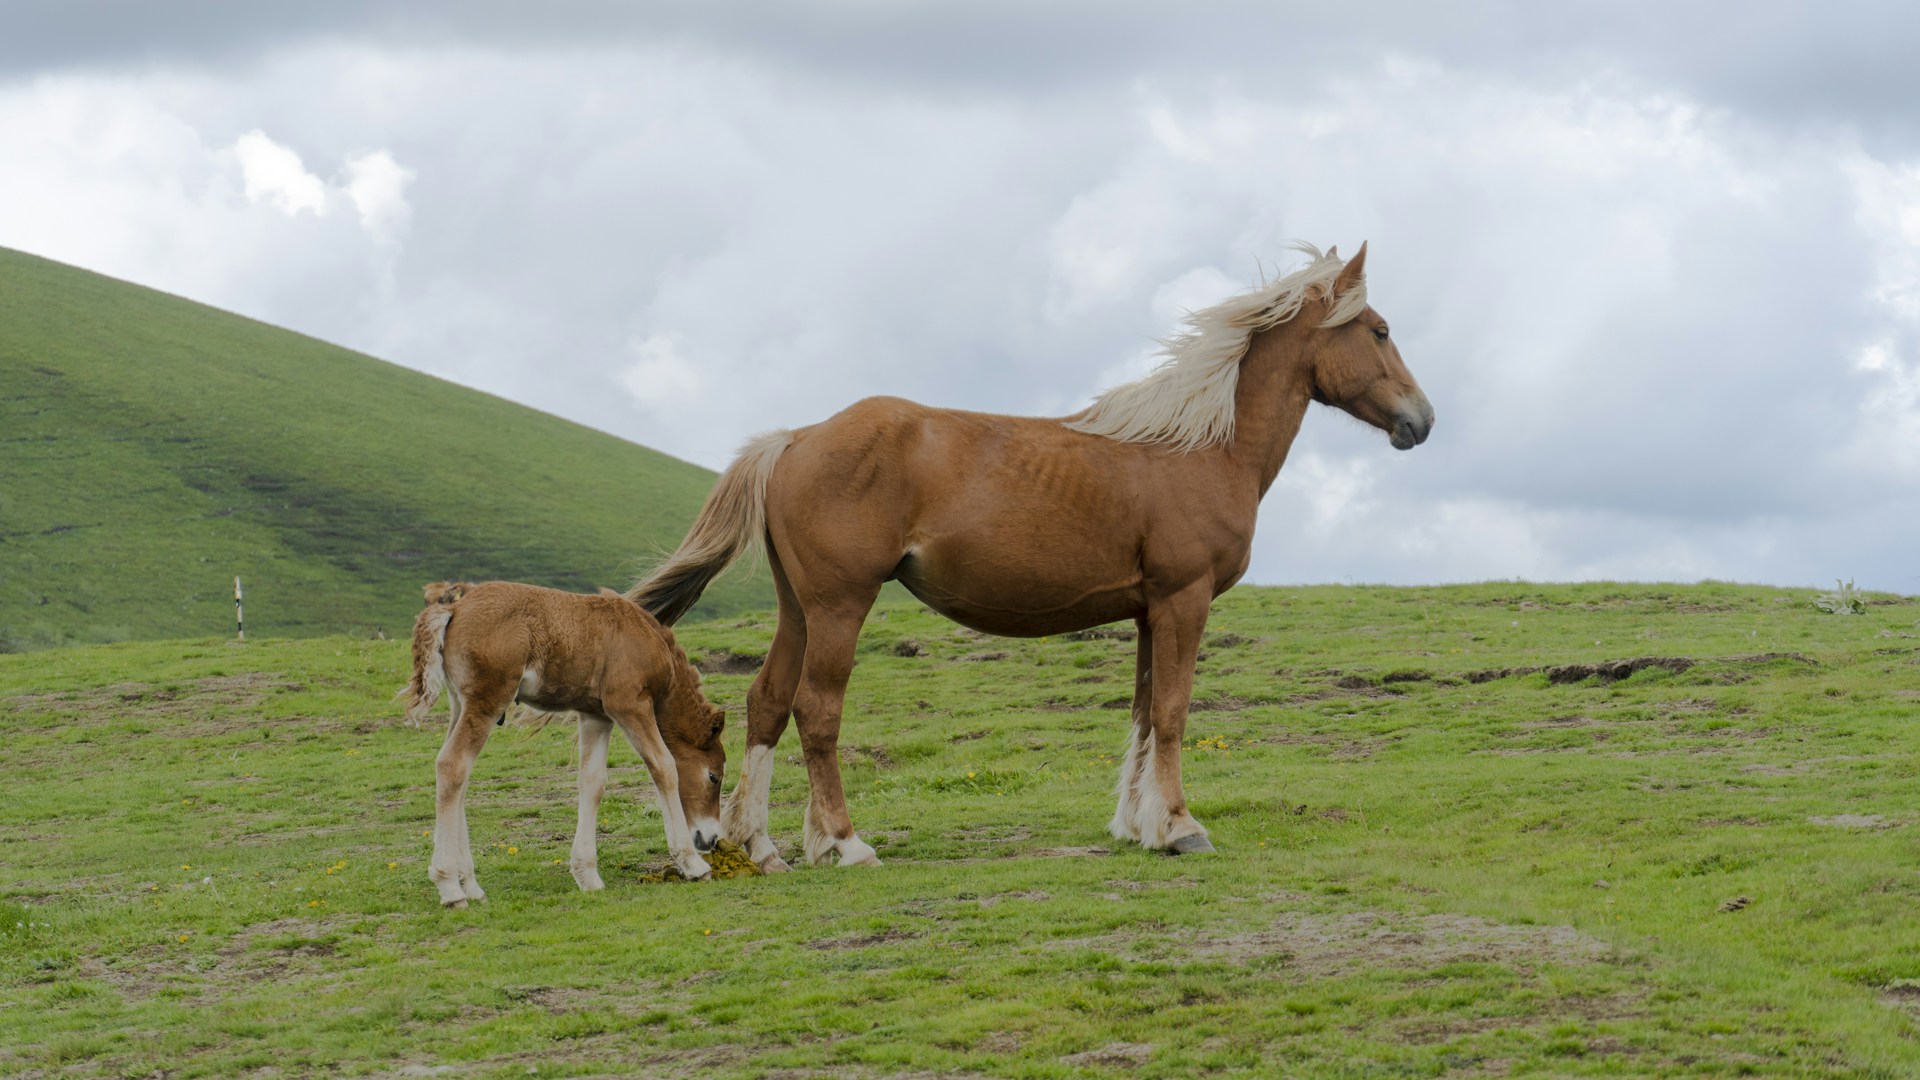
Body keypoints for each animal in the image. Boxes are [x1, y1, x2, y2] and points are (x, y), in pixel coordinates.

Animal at [403, 582, 728, 906]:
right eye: (713, 776)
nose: (711, 838)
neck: (647, 637)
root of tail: (453, 609)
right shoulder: (630, 705)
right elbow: (664, 767)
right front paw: (692, 864)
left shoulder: (595, 715)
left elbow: (592, 781)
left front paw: (587, 875)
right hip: (488, 700)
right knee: (452, 765)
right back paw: (450, 887)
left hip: (460, 703)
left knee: (459, 775)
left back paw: (470, 885)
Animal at [627, 243, 1432, 870]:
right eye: (1380, 330)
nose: (1421, 421)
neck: (1202, 448)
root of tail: (795, 438)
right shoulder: (1184, 598)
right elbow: (1173, 712)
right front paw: (1180, 827)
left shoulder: (1149, 611)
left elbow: (1143, 714)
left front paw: (1136, 825)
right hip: (840, 606)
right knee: (816, 711)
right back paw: (845, 843)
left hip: (800, 608)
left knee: (767, 702)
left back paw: (763, 844)